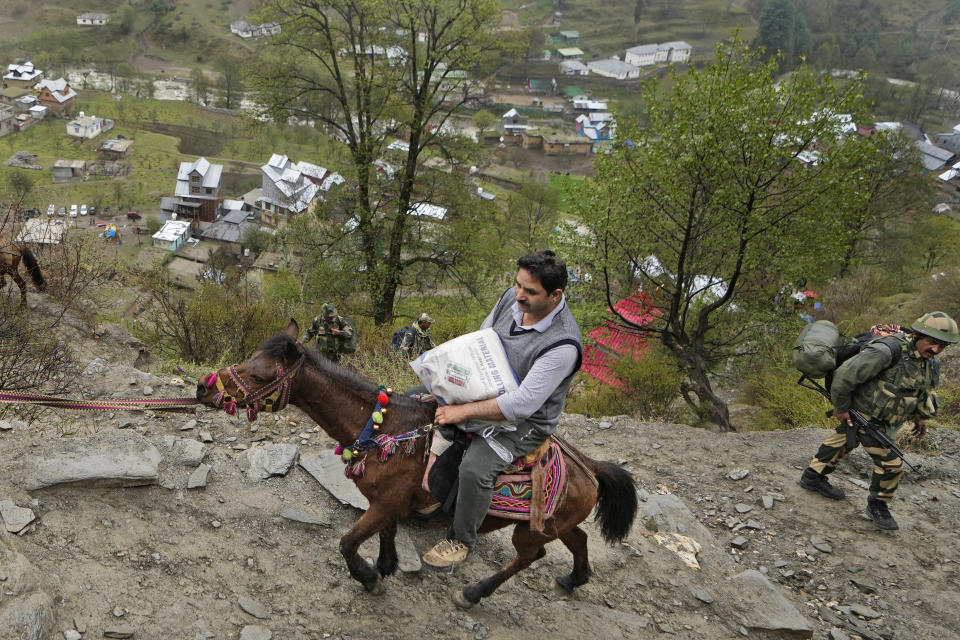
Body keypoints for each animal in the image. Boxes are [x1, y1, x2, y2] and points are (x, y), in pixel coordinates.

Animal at [195, 318, 636, 604]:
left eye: (259, 374)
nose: (203, 387)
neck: (384, 426)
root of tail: (587, 467)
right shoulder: (387, 503)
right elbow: (387, 533)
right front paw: (386, 564)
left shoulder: (386, 502)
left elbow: (347, 543)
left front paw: (369, 577)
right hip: (552, 524)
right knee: (578, 540)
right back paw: (574, 579)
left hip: (529, 531)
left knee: (531, 556)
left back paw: (475, 593)